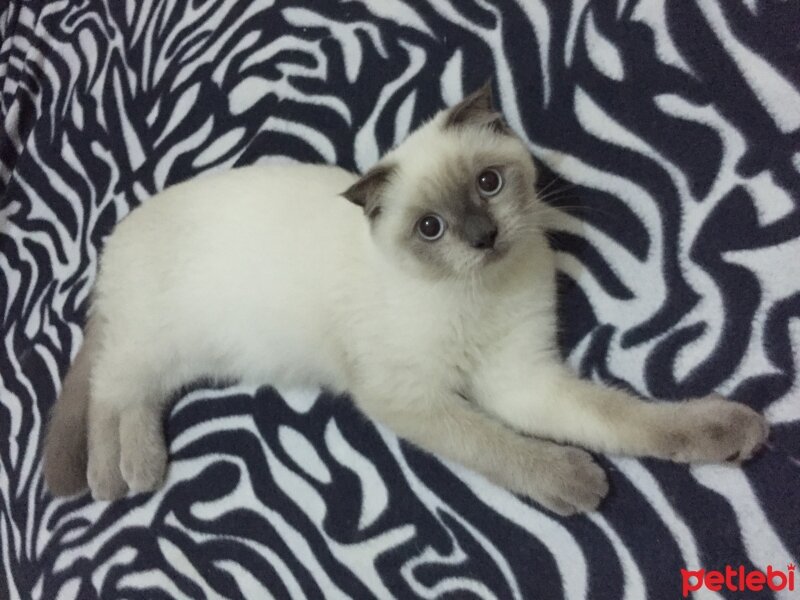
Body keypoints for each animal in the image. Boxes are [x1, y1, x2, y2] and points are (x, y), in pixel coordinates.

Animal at [43, 83, 768, 516]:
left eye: (488, 183)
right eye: (430, 228)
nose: (483, 236)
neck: (477, 294)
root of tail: (116, 234)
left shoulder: (520, 378)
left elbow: (626, 419)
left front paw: (731, 435)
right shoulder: (410, 395)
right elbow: (494, 445)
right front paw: (575, 484)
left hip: (180, 358)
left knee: (133, 396)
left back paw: (133, 467)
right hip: (149, 342)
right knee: (108, 393)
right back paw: (121, 476)